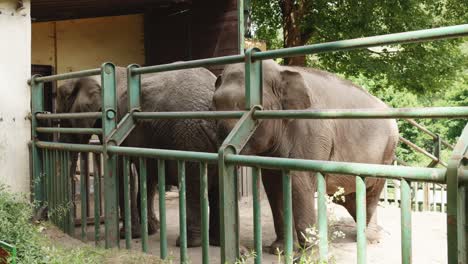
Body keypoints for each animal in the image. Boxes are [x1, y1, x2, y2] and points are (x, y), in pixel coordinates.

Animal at [56, 65, 221, 246]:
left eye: (63, 120)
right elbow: (148, 174)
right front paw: (151, 229)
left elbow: (124, 172)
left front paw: (128, 234)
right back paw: (214, 241)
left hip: (189, 134)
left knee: (193, 182)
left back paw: (189, 243)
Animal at [212, 59, 398, 254]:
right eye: (214, 104)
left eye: (247, 108)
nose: (242, 252)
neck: (282, 71)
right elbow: (274, 185)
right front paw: (279, 250)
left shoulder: (312, 131)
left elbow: (300, 181)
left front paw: (310, 252)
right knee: (352, 197)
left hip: (386, 152)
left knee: (372, 192)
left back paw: (369, 239)